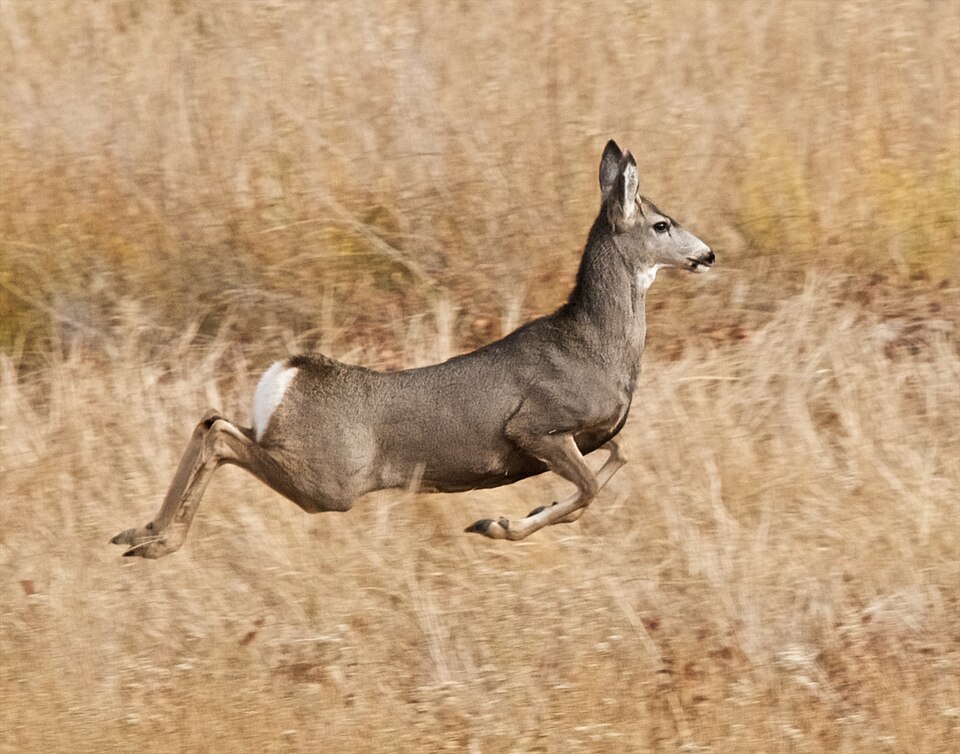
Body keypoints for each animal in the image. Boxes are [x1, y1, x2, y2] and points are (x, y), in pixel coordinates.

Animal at [112, 140, 714, 558]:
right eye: (662, 224)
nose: (708, 254)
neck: (596, 347)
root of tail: (290, 373)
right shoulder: (535, 425)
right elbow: (590, 487)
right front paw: (496, 524)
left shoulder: (587, 437)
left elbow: (615, 460)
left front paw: (528, 509)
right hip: (330, 480)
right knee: (220, 434)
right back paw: (155, 541)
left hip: (303, 460)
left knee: (212, 419)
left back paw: (139, 533)